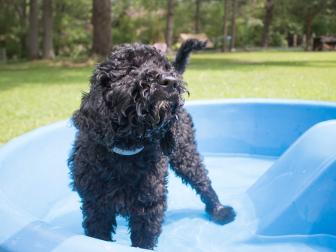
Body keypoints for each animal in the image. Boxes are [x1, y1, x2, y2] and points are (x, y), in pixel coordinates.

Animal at [68, 39, 235, 250]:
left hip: (185, 153)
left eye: (163, 66)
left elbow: (143, 241)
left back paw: (220, 211)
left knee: (203, 181)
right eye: (132, 67)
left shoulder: (148, 207)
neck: (127, 152)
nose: (170, 81)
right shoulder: (96, 206)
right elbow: (98, 235)